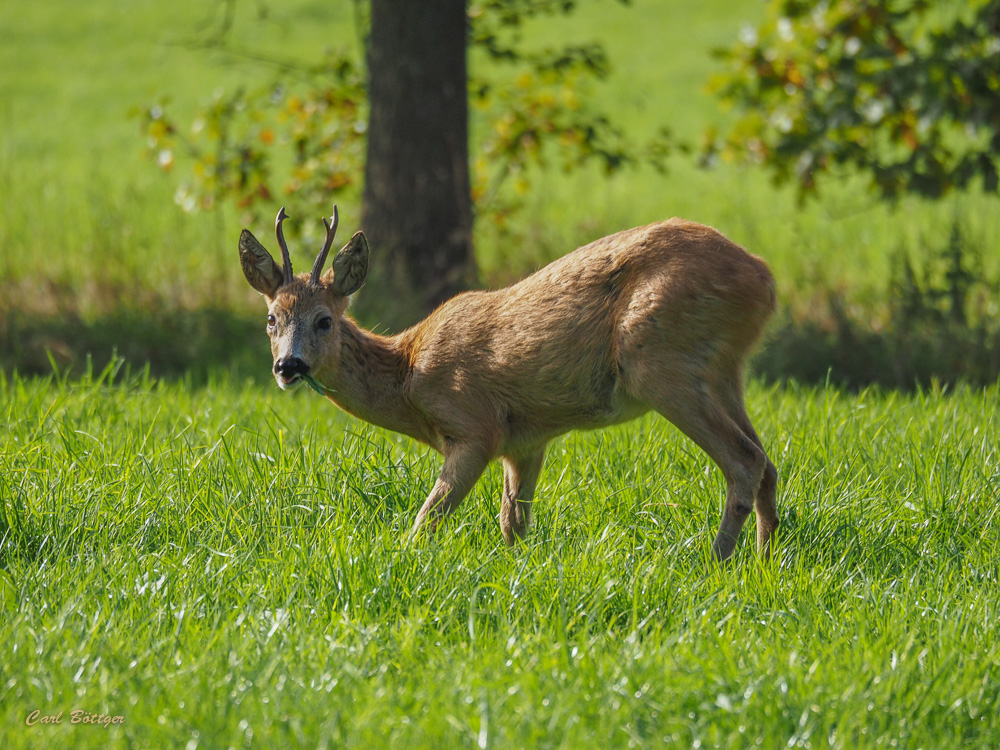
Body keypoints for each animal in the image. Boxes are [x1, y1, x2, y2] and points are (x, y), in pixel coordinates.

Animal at [238, 209, 776, 560]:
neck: (409, 374)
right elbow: (511, 523)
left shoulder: (475, 428)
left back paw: (716, 560)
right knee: (767, 463)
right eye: (271, 319)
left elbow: (426, 520)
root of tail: (764, 277)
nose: (288, 366)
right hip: (724, 371)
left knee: (745, 461)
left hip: (661, 362)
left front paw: (403, 562)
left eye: (324, 320)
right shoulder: (526, 441)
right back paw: (766, 560)